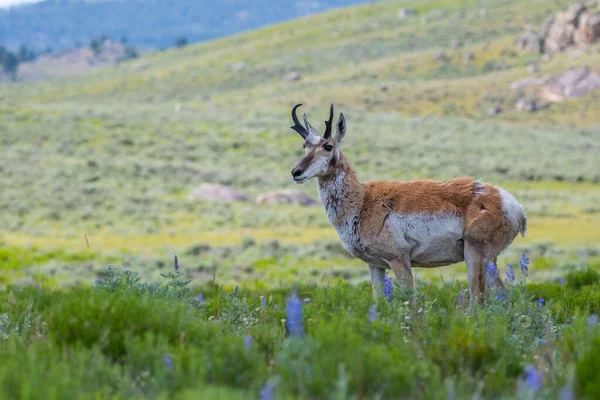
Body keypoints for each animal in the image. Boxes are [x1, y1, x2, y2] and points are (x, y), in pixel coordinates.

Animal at [288, 103, 528, 300]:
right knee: (504, 297)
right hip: (489, 262)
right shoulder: (375, 265)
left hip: (475, 256)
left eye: (328, 146)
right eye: (305, 146)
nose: (296, 172)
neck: (363, 201)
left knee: (478, 301)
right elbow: (379, 303)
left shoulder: (399, 259)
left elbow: (411, 304)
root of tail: (511, 203)